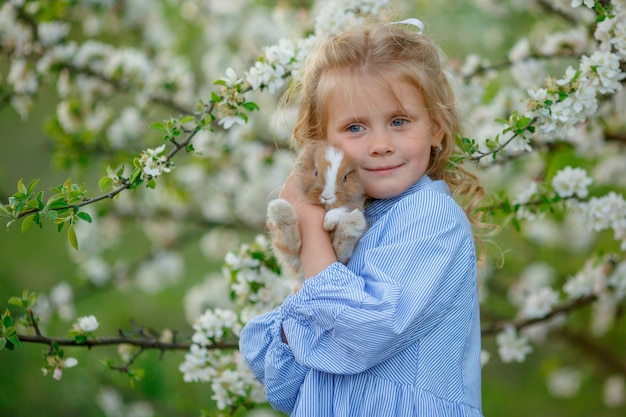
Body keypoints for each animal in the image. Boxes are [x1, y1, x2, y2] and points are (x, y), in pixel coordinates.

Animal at [266, 141, 366, 282]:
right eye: (316, 172)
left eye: (345, 178)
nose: (327, 196)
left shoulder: (354, 202)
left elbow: (342, 209)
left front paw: (328, 221)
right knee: (293, 244)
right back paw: (279, 210)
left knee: (340, 254)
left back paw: (352, 223)